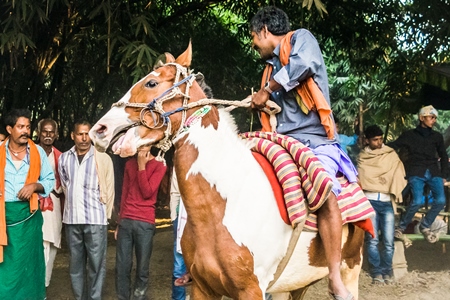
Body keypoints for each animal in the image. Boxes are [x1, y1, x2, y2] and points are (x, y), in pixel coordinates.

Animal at [89, 43, 364, 298]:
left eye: (151, 83)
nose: (99, 130)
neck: (224, 204)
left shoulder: (252, 289)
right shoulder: (202, 287)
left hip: (351, 266)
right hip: (295, 284)